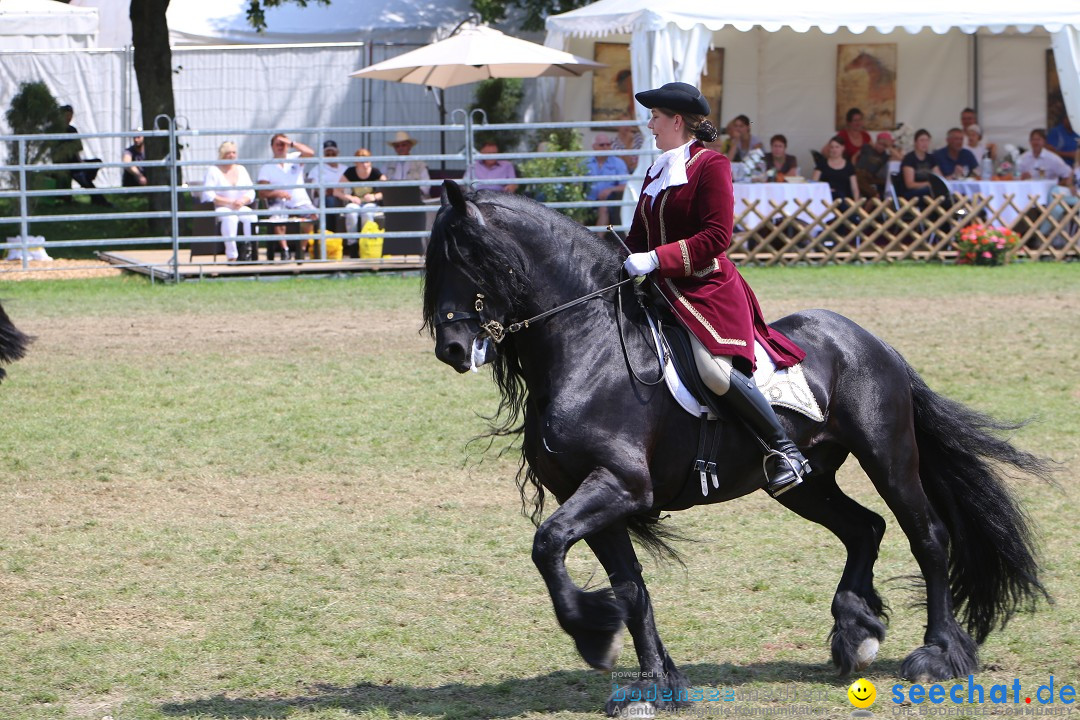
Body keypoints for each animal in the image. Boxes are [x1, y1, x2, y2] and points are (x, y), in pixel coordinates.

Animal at [421, 183, 1045, 716]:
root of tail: (871, 341)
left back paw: (938, 654)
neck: (587, 348)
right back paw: (856, 634)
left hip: (887, 457)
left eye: (464, 255)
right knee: (863, 528)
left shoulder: (618, 486)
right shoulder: (591, 495)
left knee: (928, 536)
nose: (451, 348)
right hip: (802, 482)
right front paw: (655, 683)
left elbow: (548, 544)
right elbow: (629, 585)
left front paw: (595, 636)